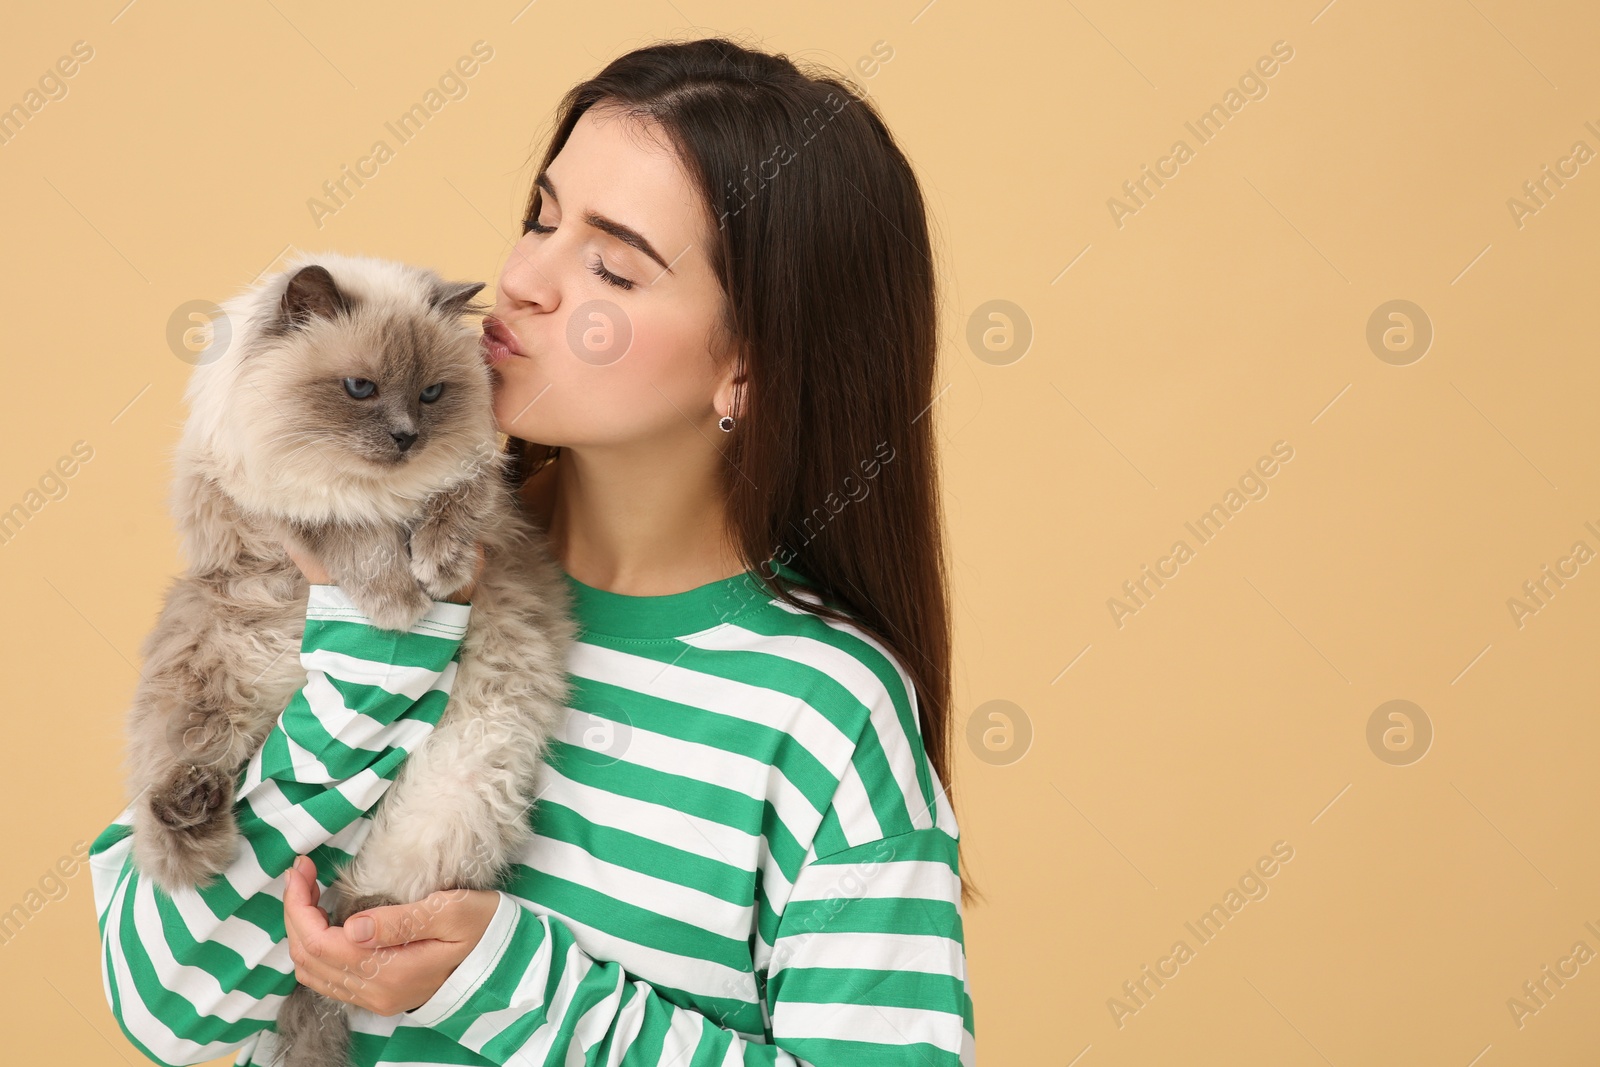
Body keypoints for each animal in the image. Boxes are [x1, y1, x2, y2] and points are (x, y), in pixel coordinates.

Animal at [124, 252, 576, 1067]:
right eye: (360, 389)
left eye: (432, 394)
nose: (404, 438)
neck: (380, 491)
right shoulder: (291, 513)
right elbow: (353, 537)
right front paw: (398, 599)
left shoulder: (482, 494)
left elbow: (453, 504)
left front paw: (434, 568)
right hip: (206, 681)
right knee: (172, 825)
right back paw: (192, 811)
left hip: (464, 780)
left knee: (361, 909)